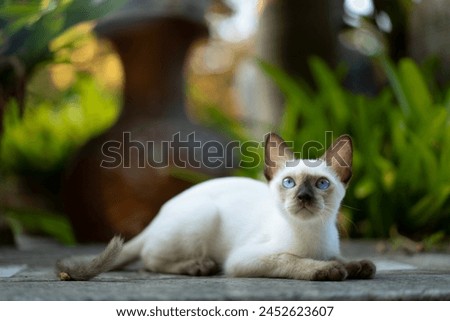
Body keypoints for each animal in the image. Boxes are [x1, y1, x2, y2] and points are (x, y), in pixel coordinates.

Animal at [56, 132, 374, 280]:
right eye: (288, 183)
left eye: (321, 184)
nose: (304, 197)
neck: (312, 237)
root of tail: (161, 211)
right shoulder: (245, 259)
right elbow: (291, 260)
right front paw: (327, 270)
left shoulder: (329, 248)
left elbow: (341, 259)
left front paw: (356, 266)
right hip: (203, 217)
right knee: (149, 259)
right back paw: (199, 265)